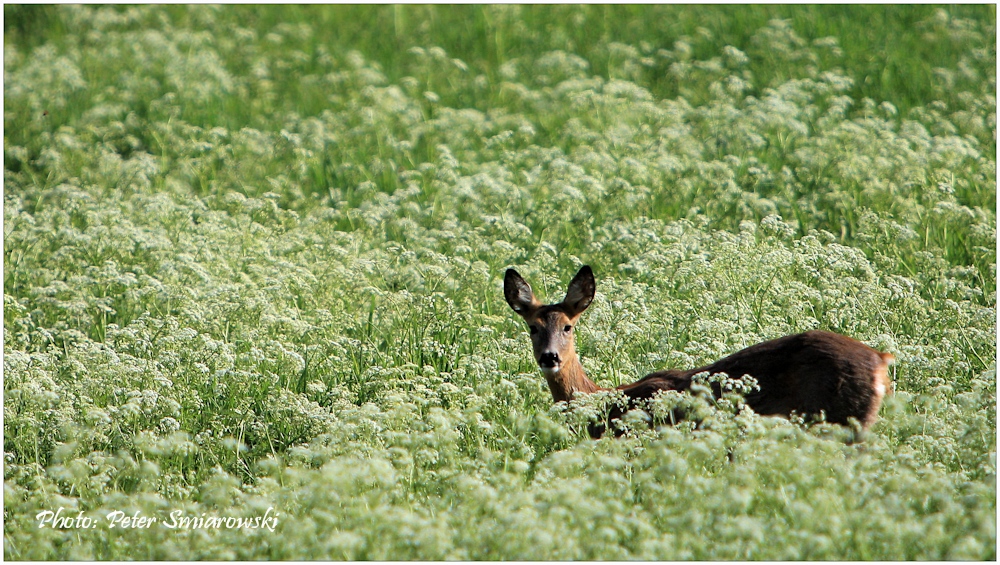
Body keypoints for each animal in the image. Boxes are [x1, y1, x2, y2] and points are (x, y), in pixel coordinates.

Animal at [504, 266, 896, 438]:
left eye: (568, 327)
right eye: (533, 327)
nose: (550, 357)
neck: (607, 400)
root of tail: (881, 359)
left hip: (844, 419)